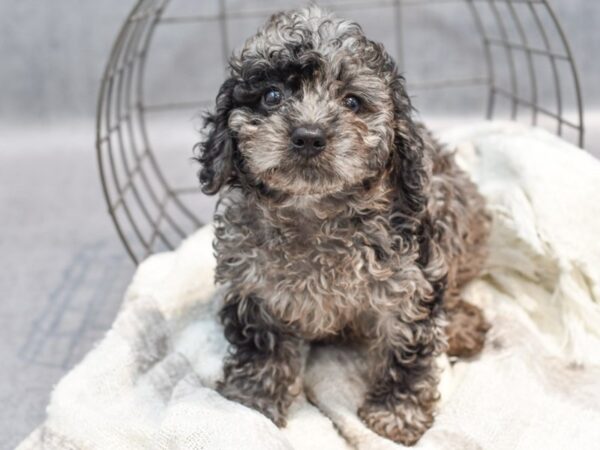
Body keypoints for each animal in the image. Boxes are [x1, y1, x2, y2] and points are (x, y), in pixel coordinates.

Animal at [198, 5, 492, 444]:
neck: (315, 213)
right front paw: (250, 403)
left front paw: (397, 416)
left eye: (352, 101)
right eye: (271, 96)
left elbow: (408, 351)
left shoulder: (409, 284)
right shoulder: (253, 286)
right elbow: (261, 348)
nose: (309, 135)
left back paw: (462, 326)